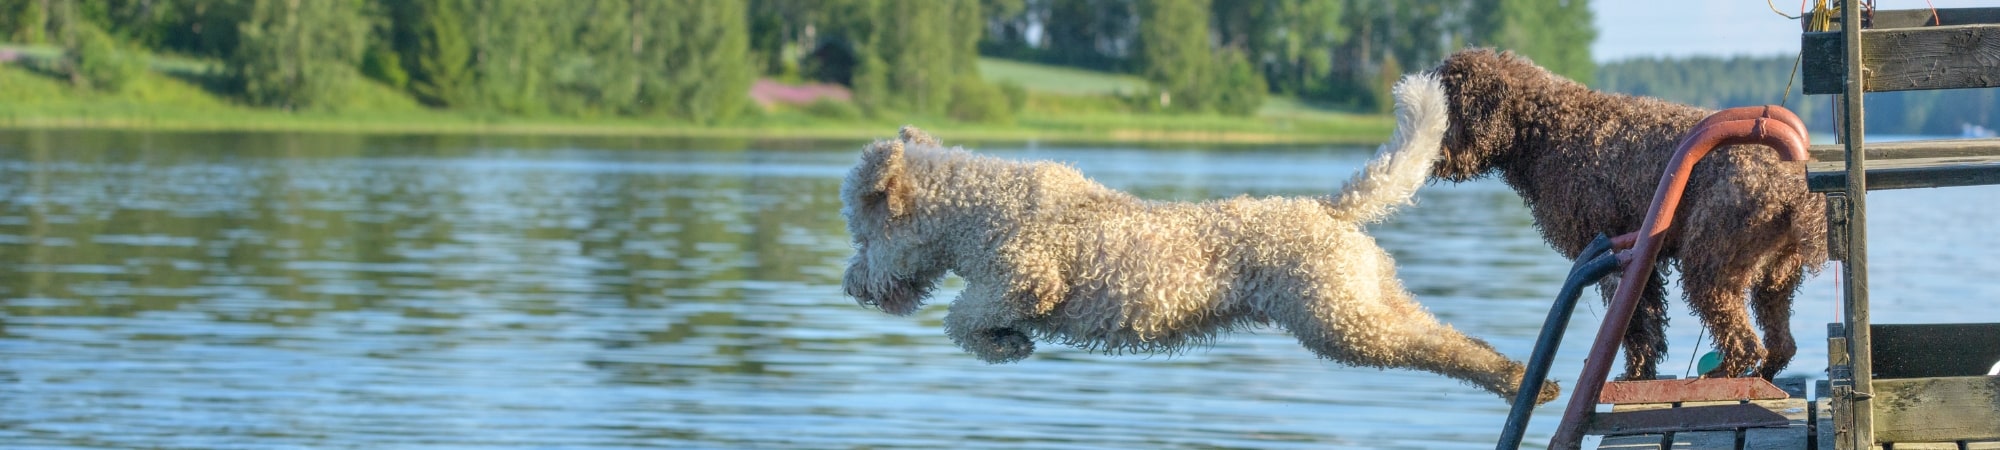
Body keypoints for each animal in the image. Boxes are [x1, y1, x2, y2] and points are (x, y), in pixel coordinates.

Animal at [1424, 49, 1832, 380]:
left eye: (1445, 106)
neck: (1546, 131)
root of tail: (1790, 186)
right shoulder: (1642, 260)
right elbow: (1646, 324)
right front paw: (1642, 372)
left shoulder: (1613, 252)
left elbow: (1633, 326)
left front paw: (1633, 374)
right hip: (1776, 276)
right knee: (1781, 343)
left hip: (1710, 262)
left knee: (1743, 341)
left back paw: (1720, 376)